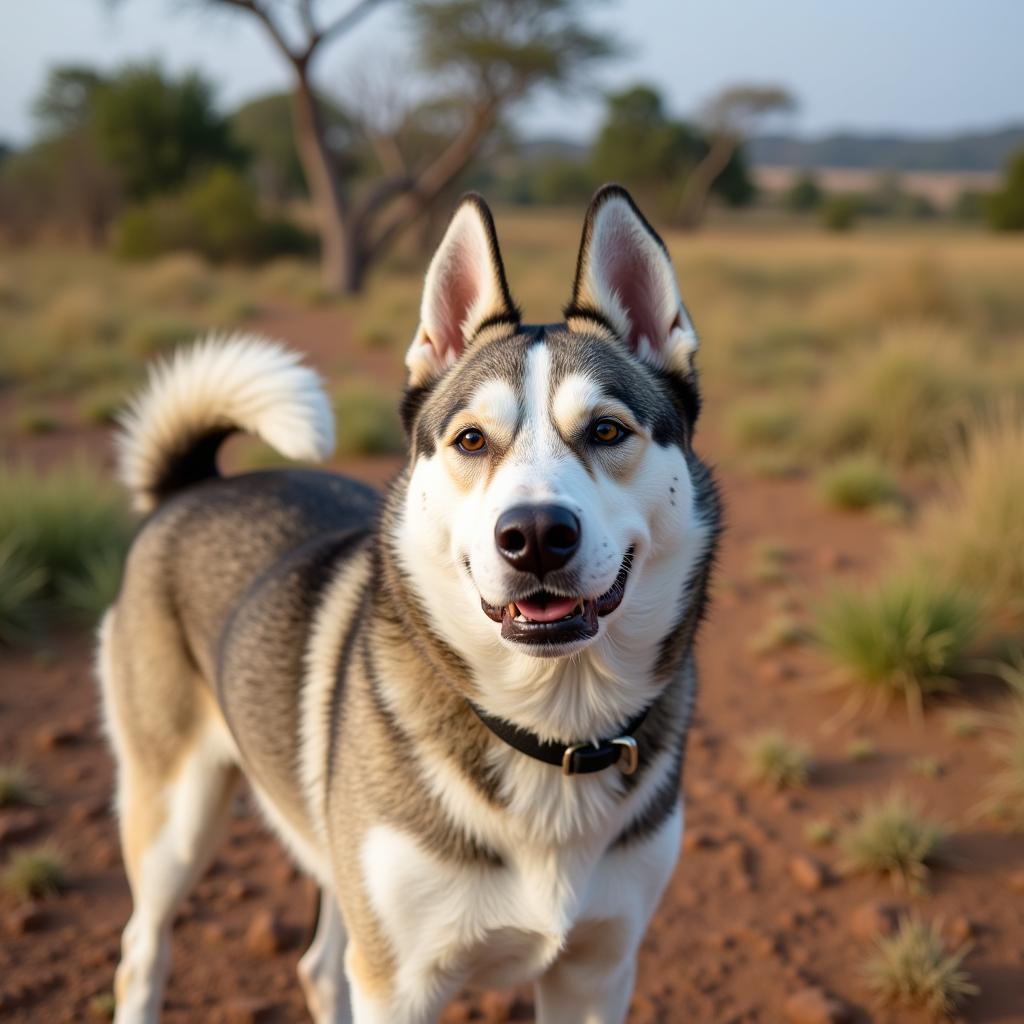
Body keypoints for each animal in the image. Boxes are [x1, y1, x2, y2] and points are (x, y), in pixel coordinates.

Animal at [97, 186, 720, 1024]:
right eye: (471, 441)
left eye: (607, 430)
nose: (534, 536)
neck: (550, 729)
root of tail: (192, 486)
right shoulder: (401, 984)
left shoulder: (598, 971)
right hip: (175, 818)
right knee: (142, 950)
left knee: (318, 966)